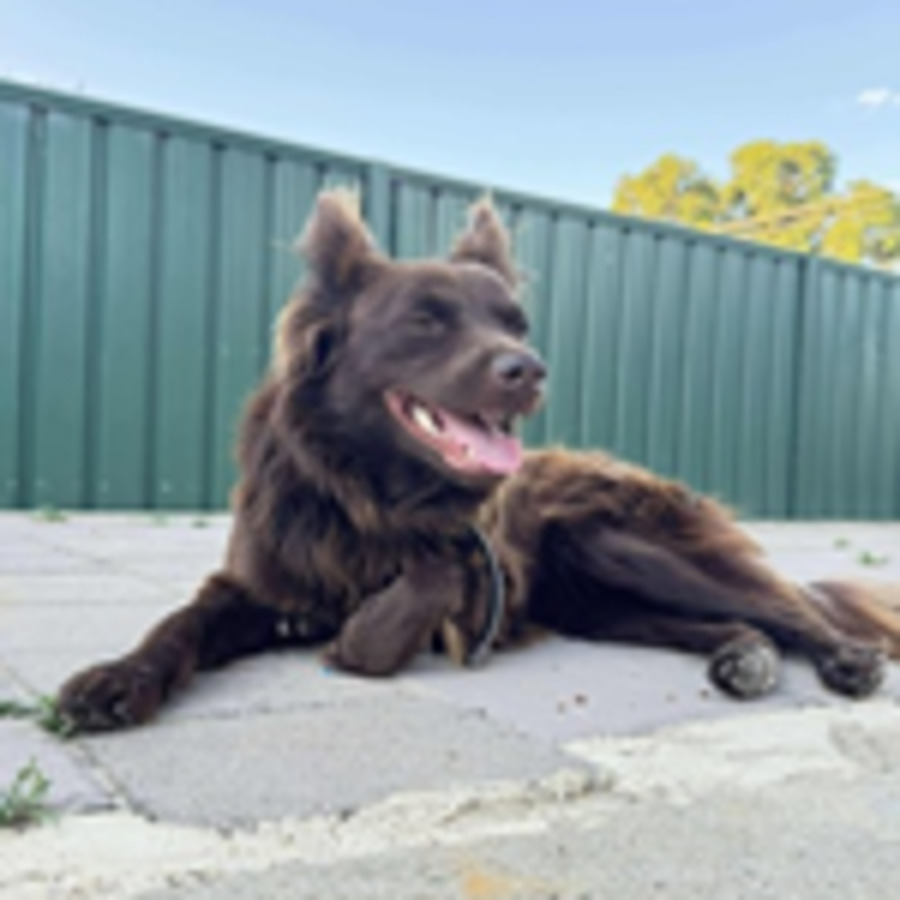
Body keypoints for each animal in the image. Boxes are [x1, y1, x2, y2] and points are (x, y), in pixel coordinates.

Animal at [58, 190, 898, 732]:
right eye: (425, 321)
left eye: (515, 324)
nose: (530, 369)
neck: (363, 492)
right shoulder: (249, 581)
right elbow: (177, 624)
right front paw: (118, 677)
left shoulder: (470, 568)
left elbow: (416, 587)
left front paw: (359, 628)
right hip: (593, 602)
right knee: (741, 622)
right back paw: (742, 656)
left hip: (617, 542)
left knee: (794, 611)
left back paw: (845, 658)